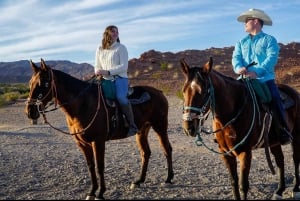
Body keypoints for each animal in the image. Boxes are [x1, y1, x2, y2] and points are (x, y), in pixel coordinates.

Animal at [25, 58, 173, 199]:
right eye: (30, 83)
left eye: (44, 83)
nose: (30, 111)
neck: (83, 104)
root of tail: (159, 92)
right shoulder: (82, 143)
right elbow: (91, 166)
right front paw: (92, 192)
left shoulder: (98, 141)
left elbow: (100, 166)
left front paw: (101, 193)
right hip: (142, 130)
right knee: (145, 153)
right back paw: (139, 181)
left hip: (160, 126)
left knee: (167, 149)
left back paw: (168, 179)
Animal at [179, 57, 300, 200]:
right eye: (184, 91)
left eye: (203, 91)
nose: (189, 127)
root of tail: (294, 93)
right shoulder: (225, 153)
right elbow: (234, 182)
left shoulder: (245, 152)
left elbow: (243, 185)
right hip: (274, 142)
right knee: (280, 160)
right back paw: (279, 191)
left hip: (296, 136)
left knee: (295, 159)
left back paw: (296, 189)